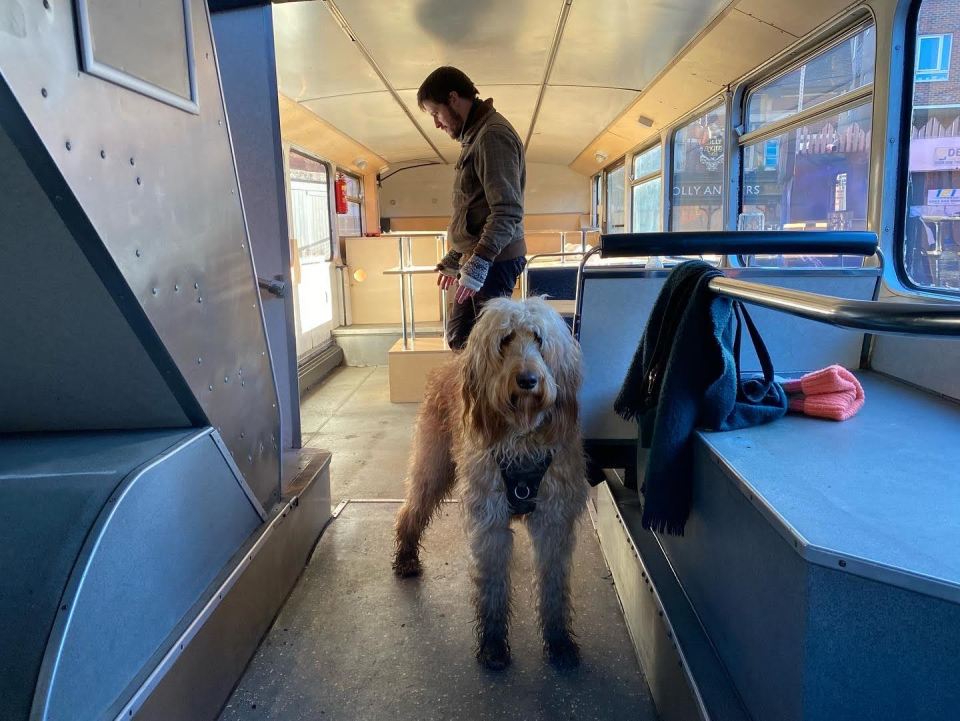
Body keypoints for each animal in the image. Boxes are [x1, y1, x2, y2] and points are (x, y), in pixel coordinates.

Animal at [390, 294, 584, 668]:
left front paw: (559, 641)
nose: (527, 380)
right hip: (432, 465)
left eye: (538, 339)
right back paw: (405, 557)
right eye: (505, 340)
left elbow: (553, 586)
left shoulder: (553, 519)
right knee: (411, 510)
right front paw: (493, 645)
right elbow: (492, 586)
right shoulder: (489, 519)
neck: (521, 439)